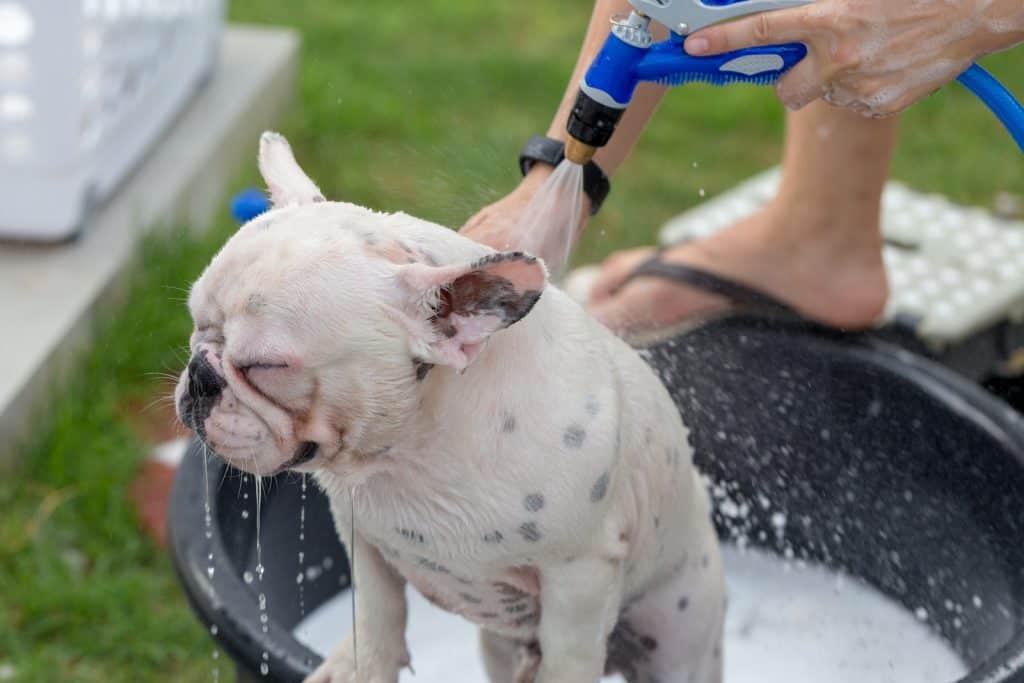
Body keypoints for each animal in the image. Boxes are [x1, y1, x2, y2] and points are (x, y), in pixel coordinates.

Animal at [176, 133, 724, 683]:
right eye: (195, 321)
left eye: (265, 365)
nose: (201, 376)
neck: (413, 448)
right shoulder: (362, 532)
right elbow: (377, 607)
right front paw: (361, 665)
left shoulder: (581, 574)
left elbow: (567, 656)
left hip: (679, 631)